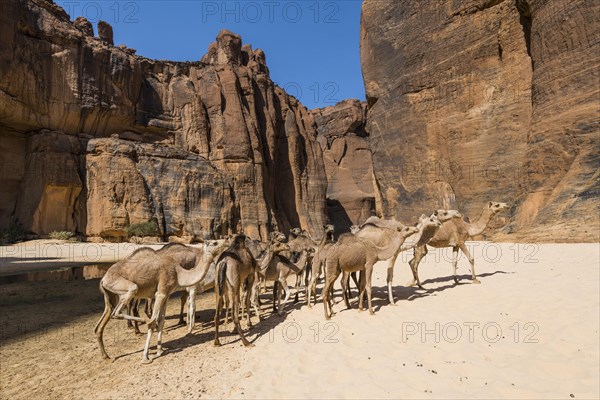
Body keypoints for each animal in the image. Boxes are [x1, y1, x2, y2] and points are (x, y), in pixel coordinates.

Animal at [95, 239, 229, 364]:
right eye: (215, 242)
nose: (226, 240)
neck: (179, 272)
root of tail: (103, 279)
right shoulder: (161, 293)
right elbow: (156, 320)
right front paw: (145, 357)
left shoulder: (167, 295)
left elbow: (162, 320)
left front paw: (159, 350)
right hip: (127, 287)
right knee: (119, 311)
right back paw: (145, 322)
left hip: (110, 295)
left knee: (101, 324)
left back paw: (106, 356)